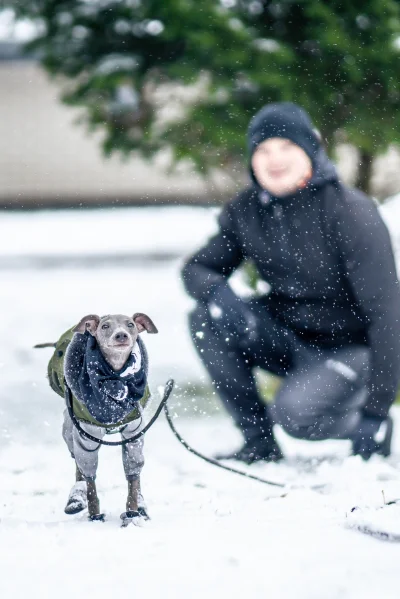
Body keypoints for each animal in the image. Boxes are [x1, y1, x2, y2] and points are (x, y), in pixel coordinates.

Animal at [58, 312, 158, 524]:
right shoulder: (86, 436)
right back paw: (76, 498)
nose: (121, 335)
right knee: (77, 465)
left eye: (130, 324)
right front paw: (95, 515)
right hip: (70, 429)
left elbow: (133, 476)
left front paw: (133, 512)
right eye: (105, 326)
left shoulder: (134, 433)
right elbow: (90, 481)